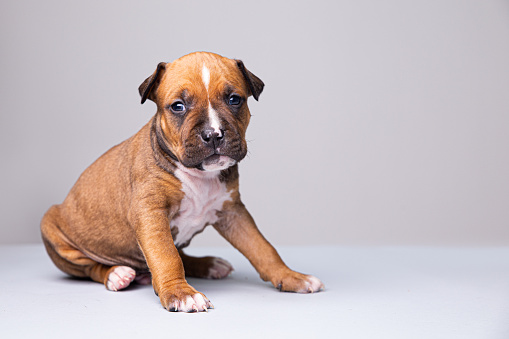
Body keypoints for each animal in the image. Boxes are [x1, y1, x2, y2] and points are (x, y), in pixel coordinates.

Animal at [41, 51, 324, 314]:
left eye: (234, 100)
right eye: (178, 106)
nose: (213, 134)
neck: (199, 176)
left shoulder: (233, 212)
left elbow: (262, 248)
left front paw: (291, 276)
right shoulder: (150, 213)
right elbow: (166, 256)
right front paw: (181, 293)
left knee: (184, 256)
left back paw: (208, 265)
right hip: (54, 229)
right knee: (90, 268)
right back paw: (116, 275)